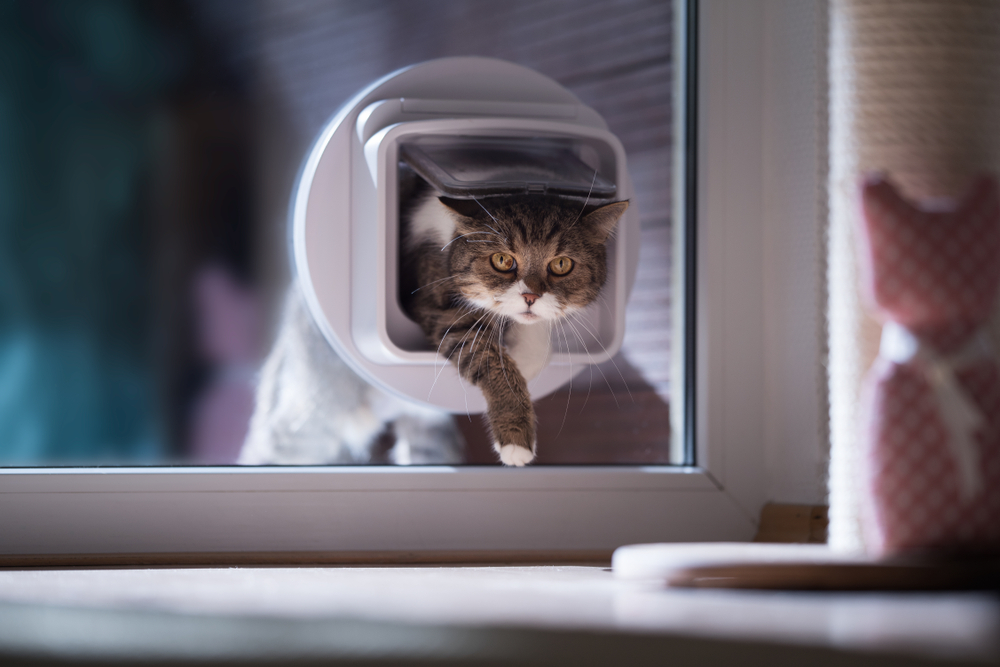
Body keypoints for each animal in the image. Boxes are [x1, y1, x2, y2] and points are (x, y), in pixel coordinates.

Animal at [398, 183, 624, 464]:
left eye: (561, 264)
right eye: (502, 260)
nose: (531, 296)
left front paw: (521, 361)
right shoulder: (440, 309)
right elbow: (486, 357)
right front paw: (515, 436)